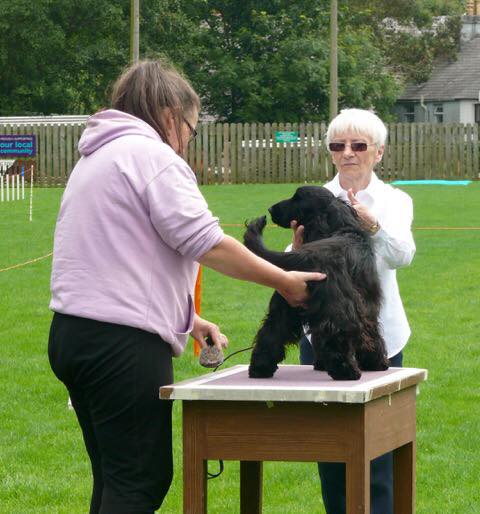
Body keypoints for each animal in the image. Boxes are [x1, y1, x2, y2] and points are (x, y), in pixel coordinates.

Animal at [243, 185, 389, 380]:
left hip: (284, 304)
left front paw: (321, 364)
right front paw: (375, 362)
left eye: (297, 199)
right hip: (340, 308)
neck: (344, 228)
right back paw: (347, 372)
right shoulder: (367, 303)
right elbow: (371, 333)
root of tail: (307, 255)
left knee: (271, 331)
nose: (271, 209)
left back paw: (260, 369)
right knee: (338, 334)